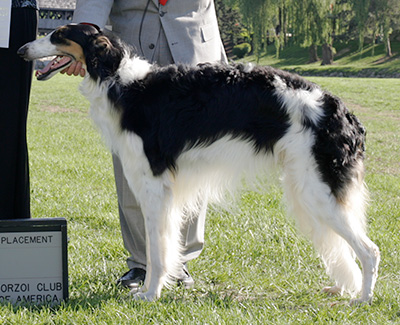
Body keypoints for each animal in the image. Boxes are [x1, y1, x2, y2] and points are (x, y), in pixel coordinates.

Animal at [19, 24, 382, 302]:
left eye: (58, 34)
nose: (22, 50)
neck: (123, 82)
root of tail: (343, 112)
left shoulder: (154, 186)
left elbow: (157, 250)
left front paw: (150, 294)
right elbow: (162, 247)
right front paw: (153, 288)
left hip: (316, 191)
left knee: (369, 250)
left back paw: (363, 299)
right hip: (309, 192)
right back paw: (343, 289)